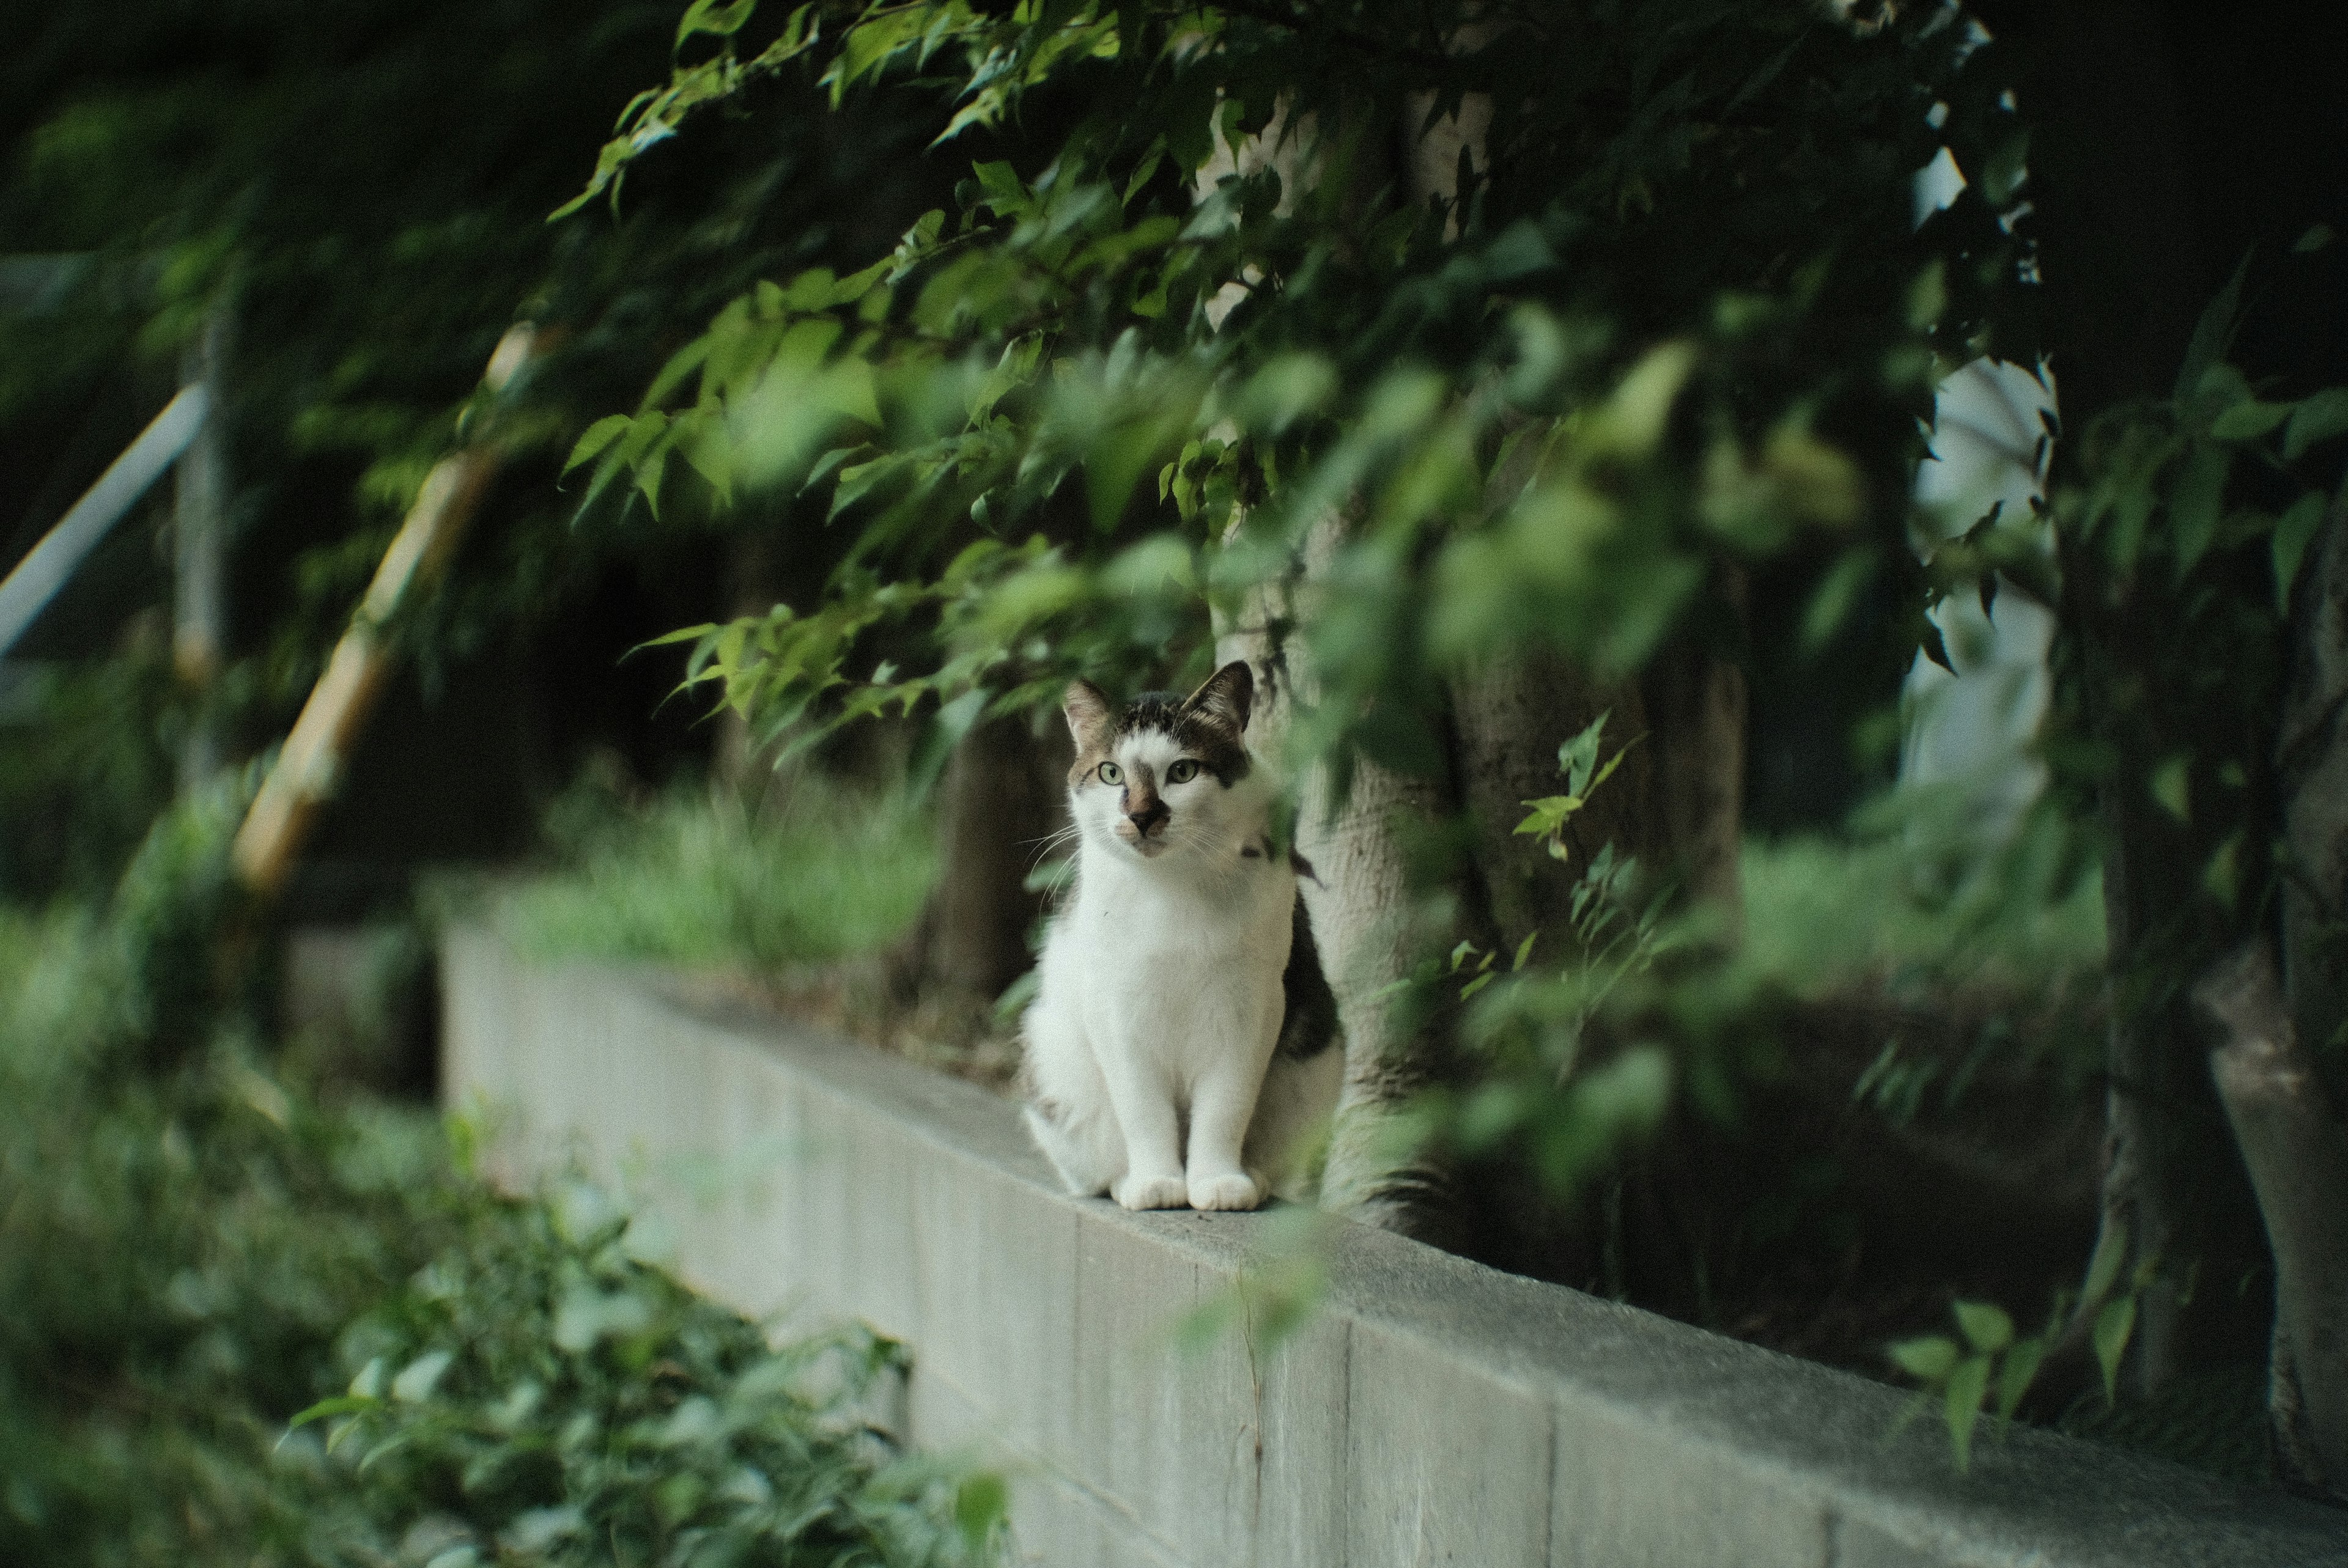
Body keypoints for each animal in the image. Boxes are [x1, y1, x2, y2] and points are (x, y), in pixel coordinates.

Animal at [1024, 661, 1343, 1211]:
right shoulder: (1115, 1007)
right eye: (1111, 773)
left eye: (1183, 772)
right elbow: (1143, 1109)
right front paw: (1156, 1182)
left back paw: (1255, 1179)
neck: (1171, 887)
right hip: (1052, 1057)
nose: (1143, 815)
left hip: (1316, 1066)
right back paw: (1126, 1181)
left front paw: (1218, 1183)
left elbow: (1226, 1105)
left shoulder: (1254, 1004)